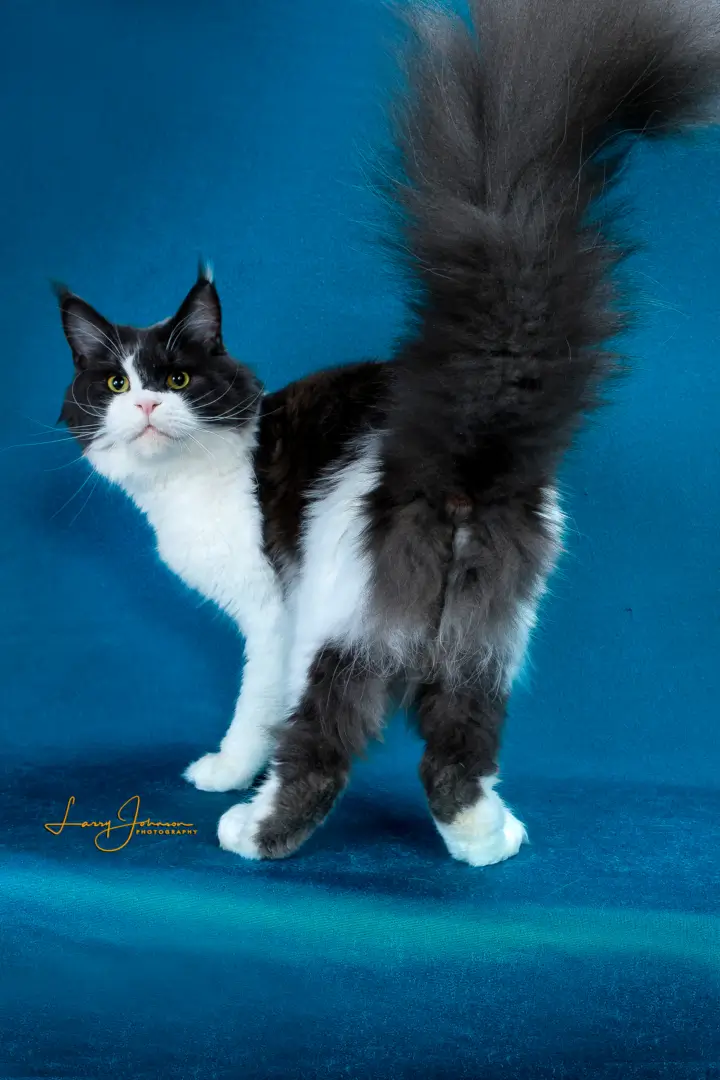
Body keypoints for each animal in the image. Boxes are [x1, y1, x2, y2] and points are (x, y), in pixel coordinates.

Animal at [55, 0, 720, 859]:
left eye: (176, 381)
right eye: (113, 384)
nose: (142, 407)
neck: (192, 482)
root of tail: (465, 446)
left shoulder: (271, 620)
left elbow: (253, 712)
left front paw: (225, 772)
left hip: (341, 619)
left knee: (326, 739)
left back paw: (257, 830)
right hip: (484, 634)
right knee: (457, 748)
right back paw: (483, 837)